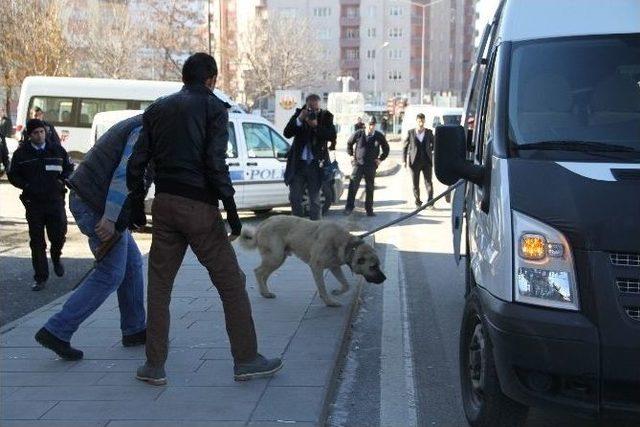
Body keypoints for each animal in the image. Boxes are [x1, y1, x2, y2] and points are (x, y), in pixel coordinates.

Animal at [236, 217, 382, 308]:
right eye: (373, 267)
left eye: (378, 265)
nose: (384, 278)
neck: (347, 245)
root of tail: (263, 224)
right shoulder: (316, 267)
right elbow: (322, 288)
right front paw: (329, 302)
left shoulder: (334, 267)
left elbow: (346, 284)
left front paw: (337, 292)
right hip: (275, 257)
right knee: (258, 272)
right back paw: (264, 292)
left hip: (278, 258)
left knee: (263, 274)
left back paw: (265, 293)